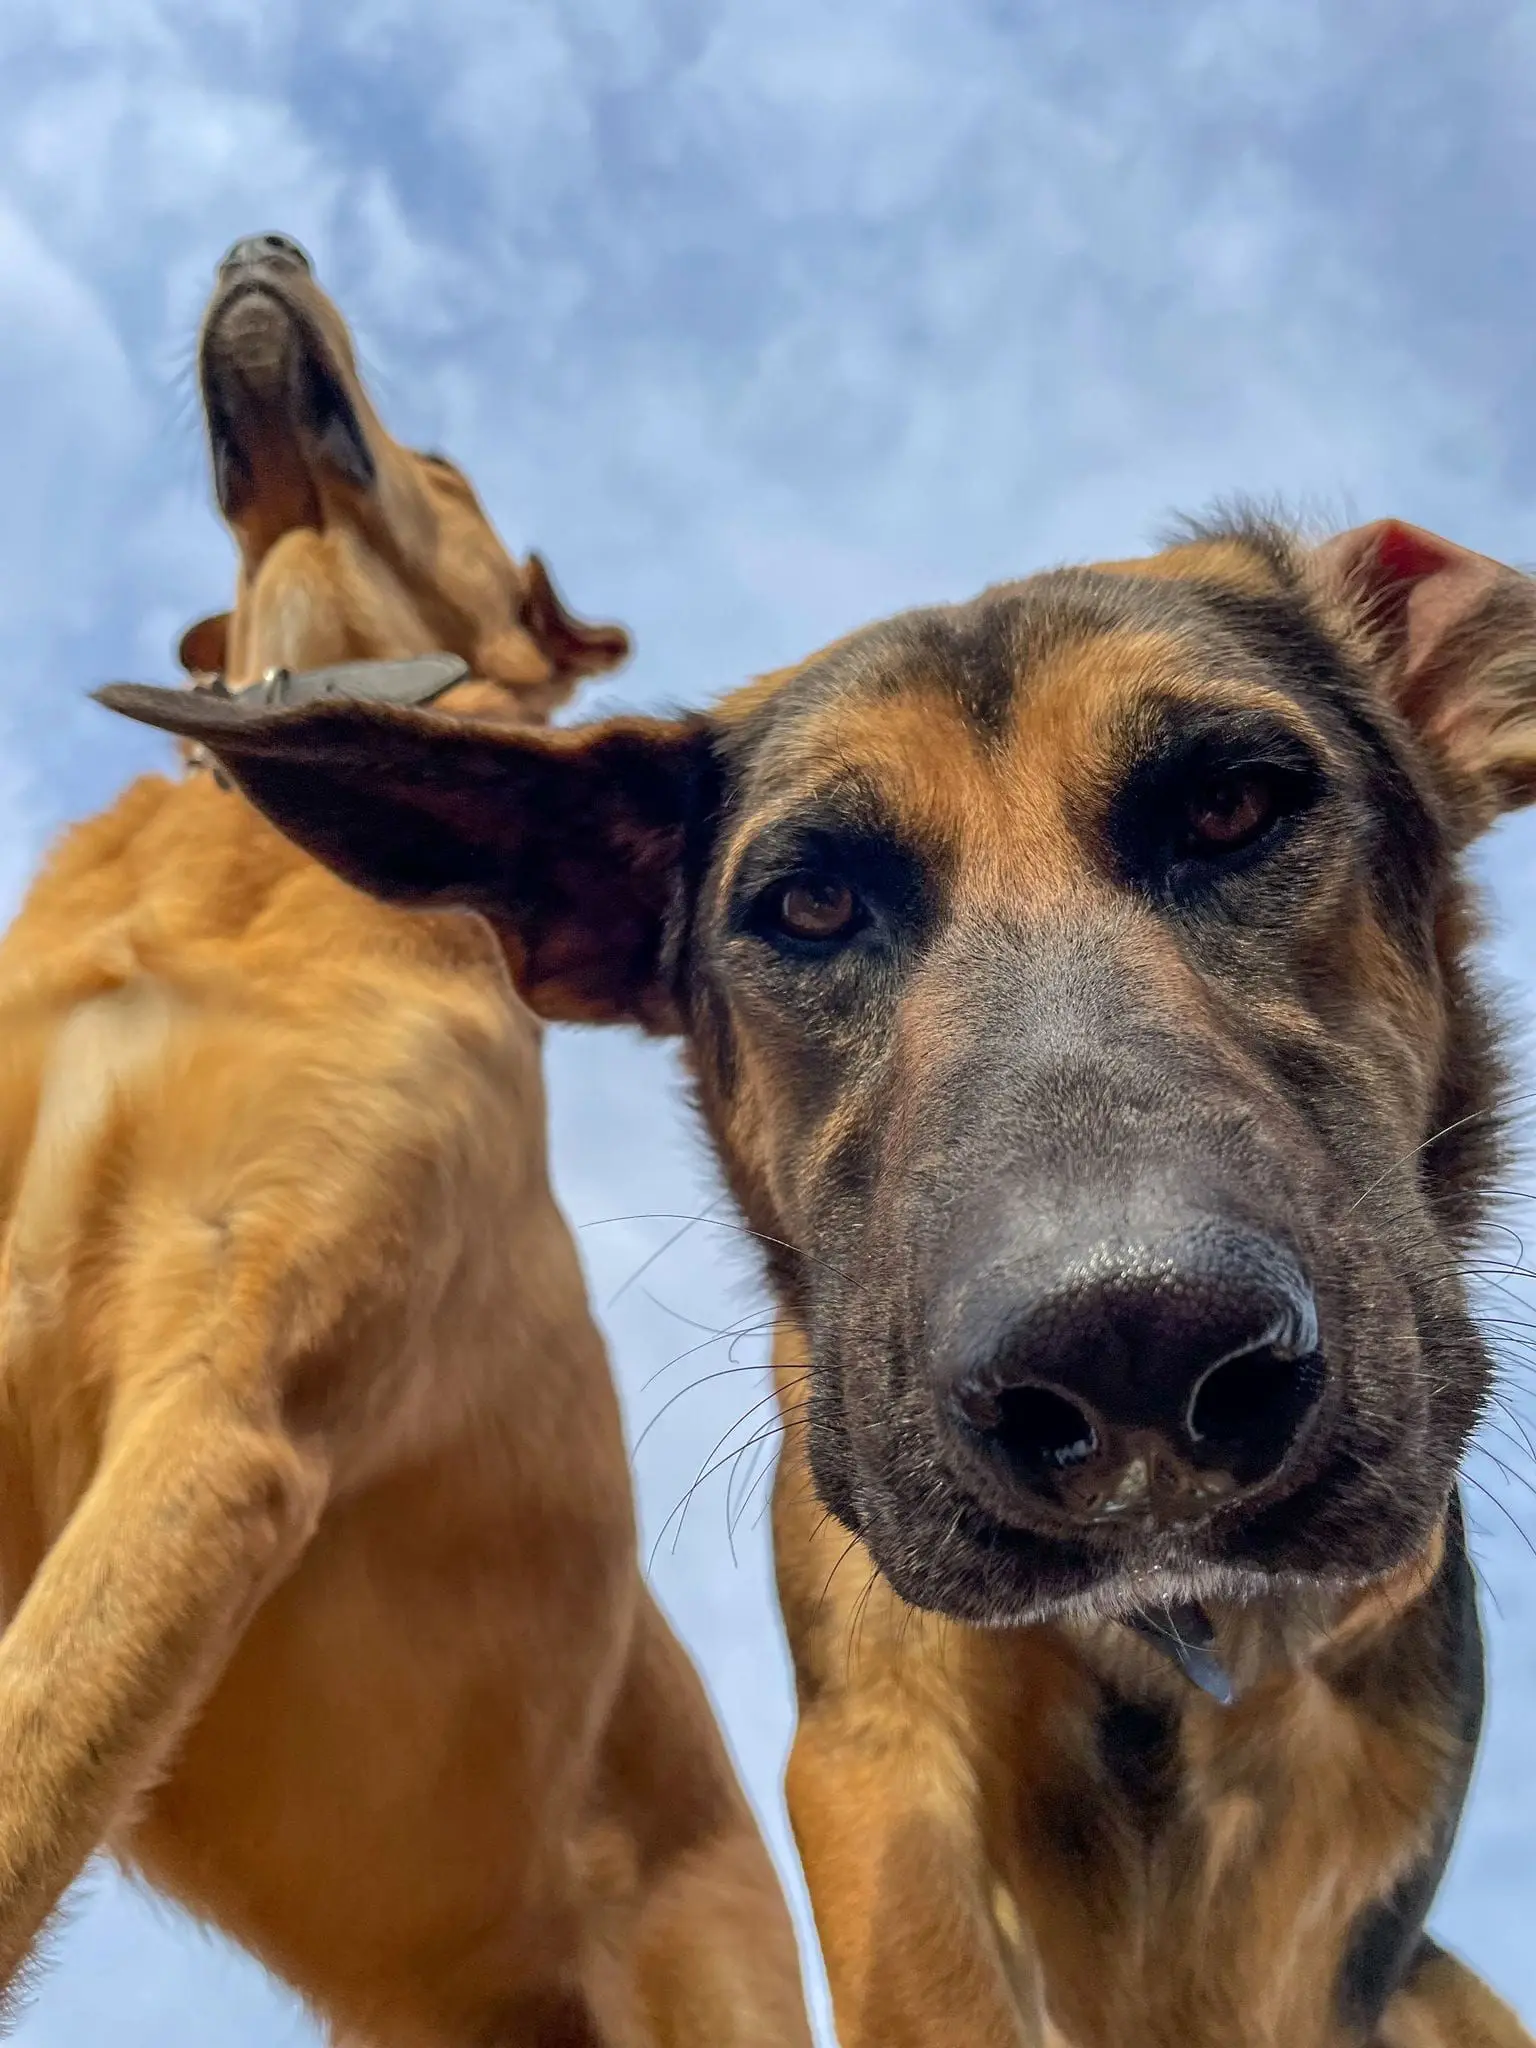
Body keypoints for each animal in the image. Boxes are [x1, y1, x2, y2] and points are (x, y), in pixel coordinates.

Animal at [105, 516, 1536, 2048]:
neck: (1168, 1641)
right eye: (811, 904)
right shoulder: (879, 1752)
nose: (1130, 1350)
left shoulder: (1336, 1837)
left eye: (1232, 809)